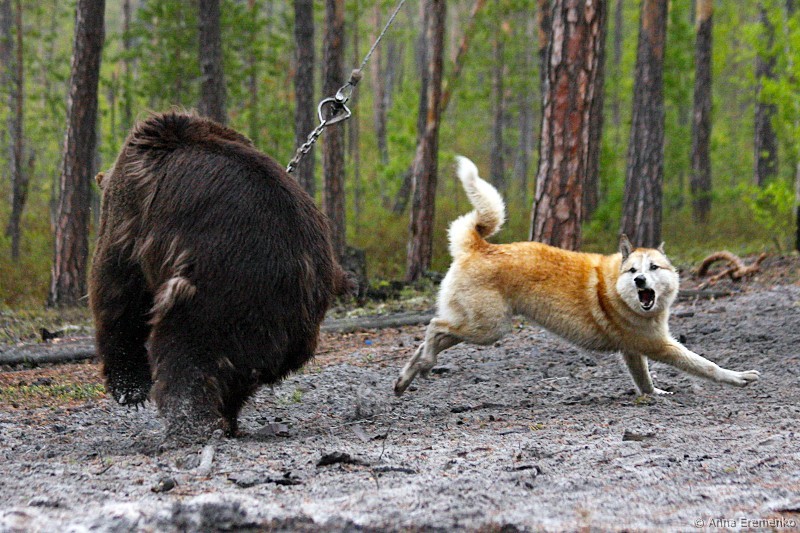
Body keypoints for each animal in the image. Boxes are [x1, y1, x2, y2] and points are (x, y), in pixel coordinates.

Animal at [90, 111, 352, 443]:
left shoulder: (132, 213)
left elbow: (117, 291)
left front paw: (129, 387)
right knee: (233, 378)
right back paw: (225, 419)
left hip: (215, 299)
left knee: (185, 354)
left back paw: (190, 426)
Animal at [394, 156, 760, 397]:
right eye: (633, 271)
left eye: (653, 268)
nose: (640, 282)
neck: (617, 291)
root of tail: (478, 245)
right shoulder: (656, 346)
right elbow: (705, 365)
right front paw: (740, 377)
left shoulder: (633, 351)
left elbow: (643, 381)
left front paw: (654, 395)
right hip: (488, 328)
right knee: (434, 327)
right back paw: (423, 364)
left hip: (479, 326)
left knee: (433, 338)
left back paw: (407, 377)